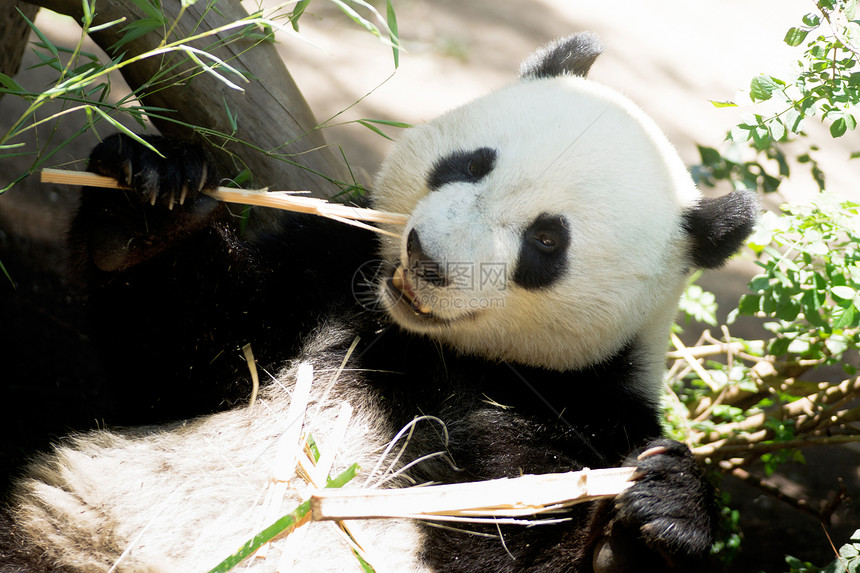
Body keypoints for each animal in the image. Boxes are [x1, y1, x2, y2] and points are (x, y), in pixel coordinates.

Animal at [0, 33, 756, 568]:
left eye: (547, 241)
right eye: (471, 163)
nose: (426, 257)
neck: (427, 346)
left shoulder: (586, 407)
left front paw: (650, 522)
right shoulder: (330, 272)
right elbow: (191, 367)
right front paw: (151, 201)